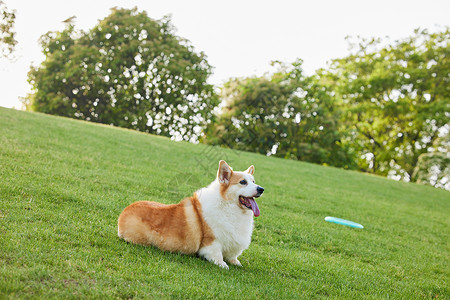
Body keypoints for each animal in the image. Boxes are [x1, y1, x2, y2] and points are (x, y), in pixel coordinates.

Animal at [118, 161, 264, 268]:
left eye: (254, 181)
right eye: (243, 182)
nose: (261, 189)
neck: (229, 207)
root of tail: (122, 214)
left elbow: (233, 257)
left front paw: (236, 262)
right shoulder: (212, 242)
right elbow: (217, 255)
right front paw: (223, 264)